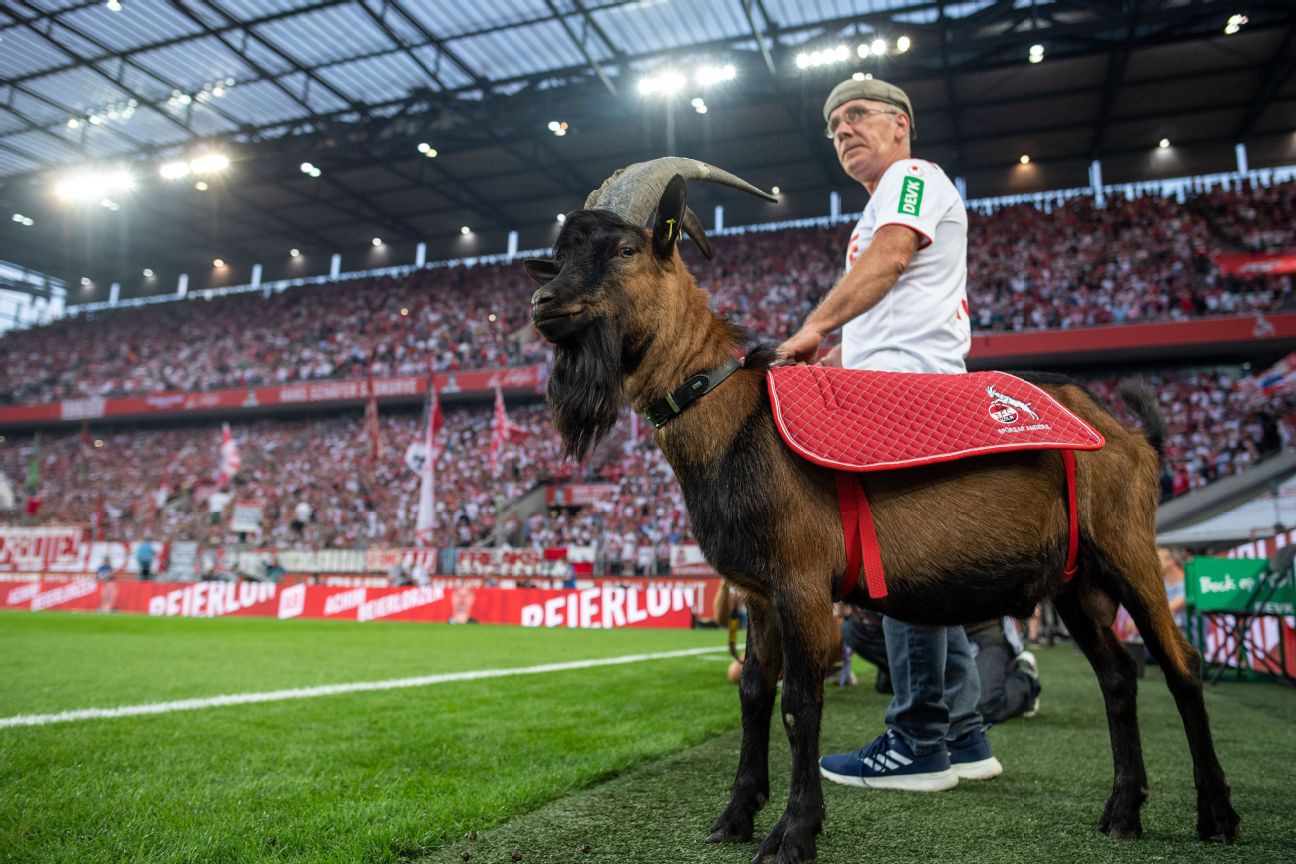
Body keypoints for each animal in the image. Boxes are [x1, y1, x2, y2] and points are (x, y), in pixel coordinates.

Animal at [520, 158, 1238, 860]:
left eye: (625, 248)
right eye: (558, 257)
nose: (541, 304)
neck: (736, 415)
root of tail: (1130, 434)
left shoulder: (803, 582)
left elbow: (799, 702)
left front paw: (793, 834)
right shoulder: (757, 592)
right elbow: (754, 693)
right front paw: (735, 817)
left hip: (1128, 549)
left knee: (1180, 665)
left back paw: (1217, 814)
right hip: (1076, 584)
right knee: (1118, 677)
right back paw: (1122, 812)